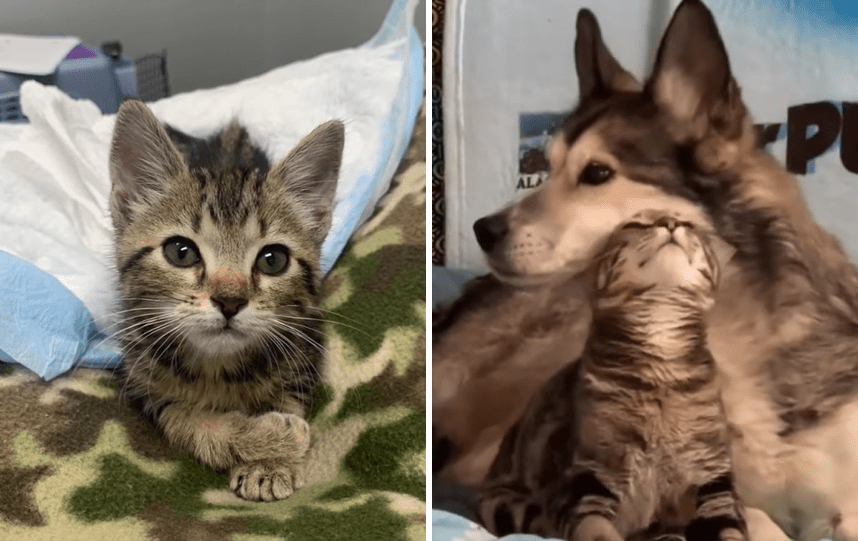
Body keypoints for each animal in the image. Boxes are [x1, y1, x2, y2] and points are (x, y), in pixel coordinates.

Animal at [110, 99, 344, 500]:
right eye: (181, 252)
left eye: (273, 260)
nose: (230, 301)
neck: (217, 369)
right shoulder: (144, 385)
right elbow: (189, 421)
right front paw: (275, 437)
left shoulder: (303, 352)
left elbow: (289, 400)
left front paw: (270, 463)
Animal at [478, 211, 744, 540]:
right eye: (636, 224)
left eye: (689, 225)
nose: (670, 223)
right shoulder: (586, 480)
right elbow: (597, 530)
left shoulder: (715, 481)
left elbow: (730, 531)